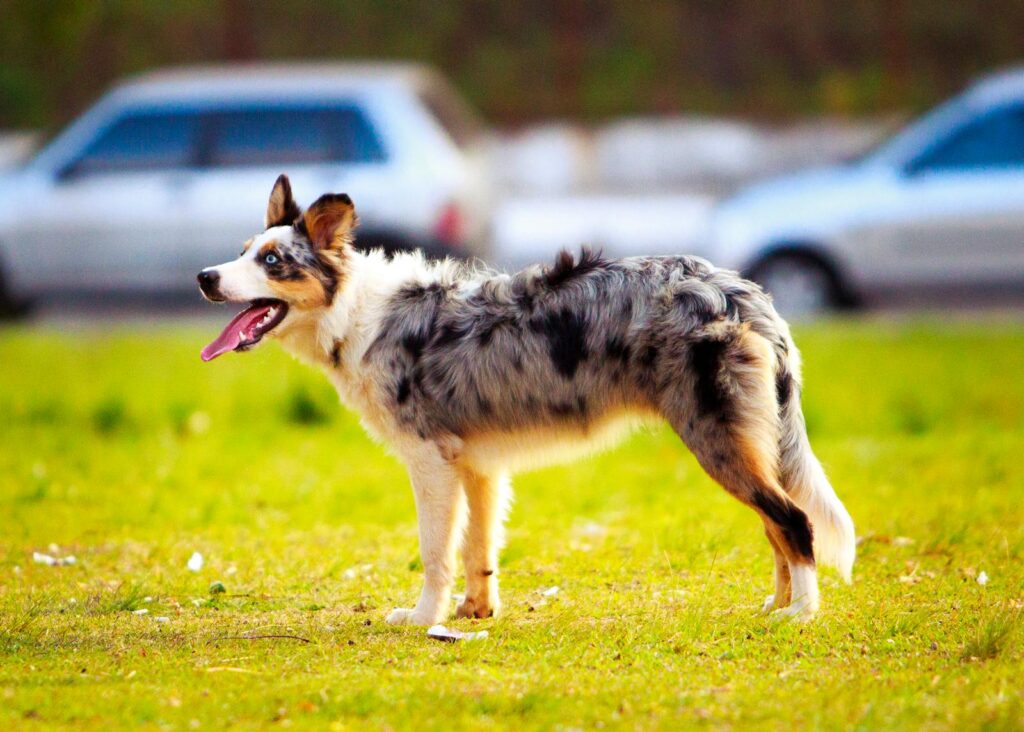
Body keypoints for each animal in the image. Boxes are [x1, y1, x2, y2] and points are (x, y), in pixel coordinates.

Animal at [195, 176, 851, 622]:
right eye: (244, 250)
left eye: (273, 261)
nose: (205, 277)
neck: (354, 312)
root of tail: (743, 293)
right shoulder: (477, 466)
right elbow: (478, 548)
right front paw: (473, 614)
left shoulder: (430, 463)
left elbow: (435, 550)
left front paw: (423, 618)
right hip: (743, 442)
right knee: (776, 523)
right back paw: (776, 605)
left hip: (716, 440)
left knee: (792, 520)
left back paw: (801, 613)